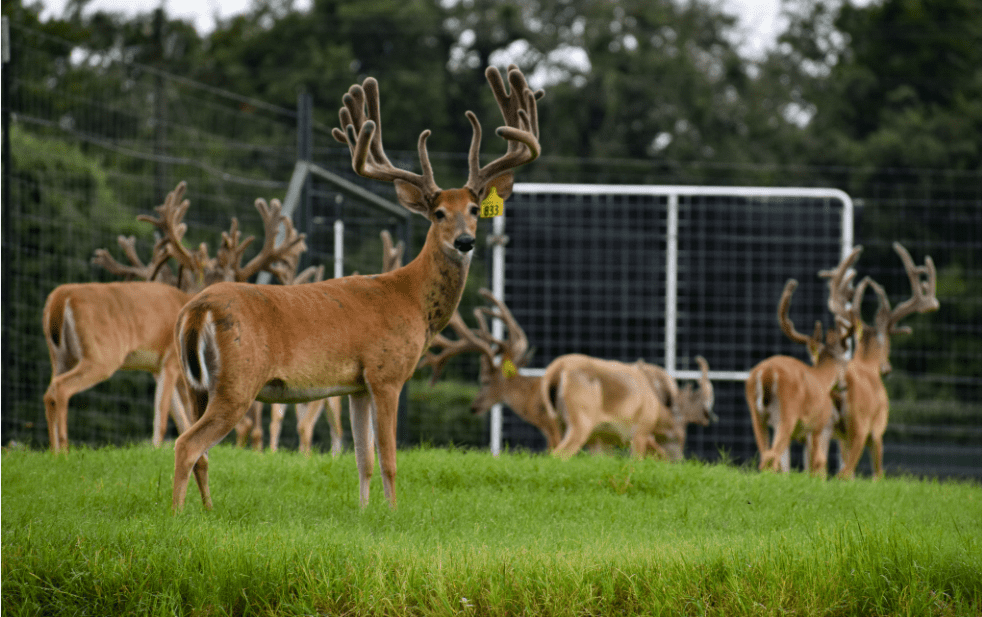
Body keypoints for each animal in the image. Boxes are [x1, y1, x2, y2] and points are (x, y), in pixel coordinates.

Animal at [744, 249, 859, 476]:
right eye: (845, 362)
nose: (844, 385)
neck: (822, 379)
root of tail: (767, 372)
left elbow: (792, 467)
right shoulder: (819, 426)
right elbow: (818, 465)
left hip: (756, 414)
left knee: (765, 456)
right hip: (786, 412)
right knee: (771, 457)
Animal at [825, 242, 939, 479]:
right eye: (889, 344)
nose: (887, 368)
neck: (867, 365)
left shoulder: (842, 438)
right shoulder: (878, 428)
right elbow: (878, 474)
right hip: (859, 426)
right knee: (845, 473)